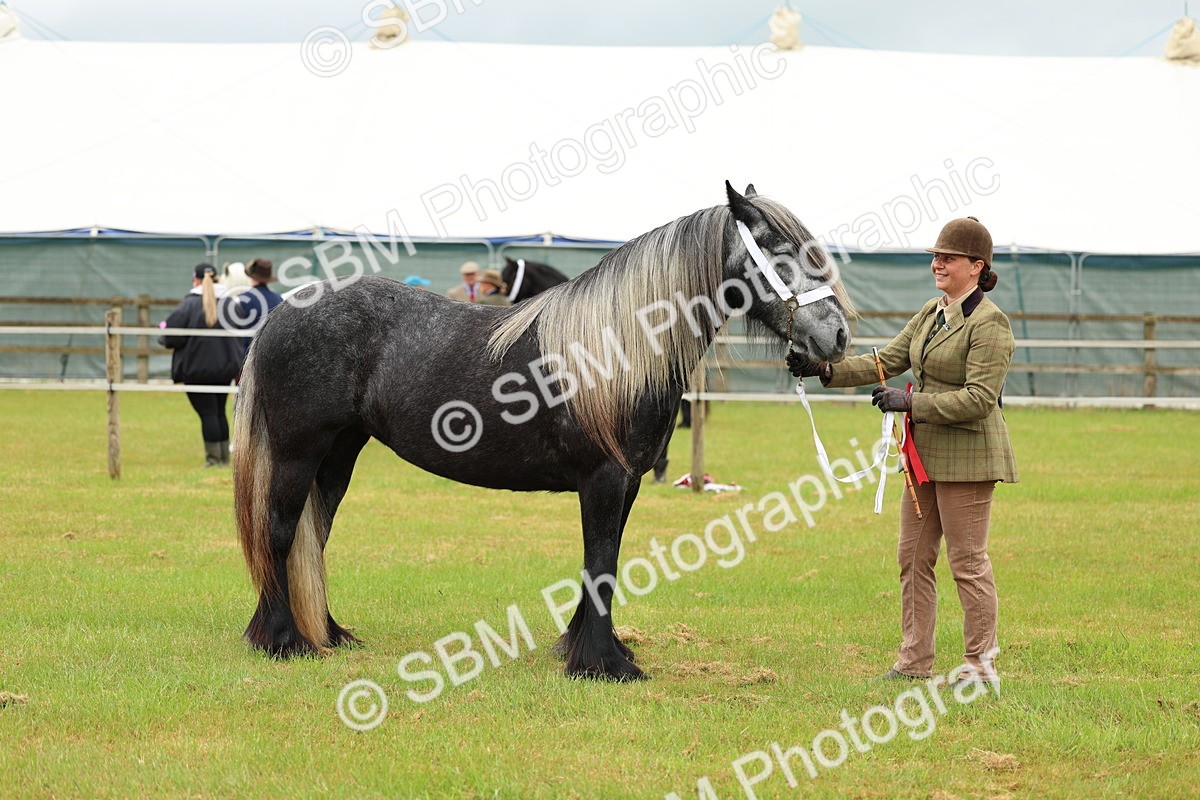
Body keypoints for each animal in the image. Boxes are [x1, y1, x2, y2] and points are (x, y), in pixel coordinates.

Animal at [233, 182, 852, 681]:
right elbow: (601, 561)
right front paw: (603, 665)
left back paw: (323, 632)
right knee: (280, 531)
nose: (838, 337)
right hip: (297, 452)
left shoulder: (627, 482)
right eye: (780, 253)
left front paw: (589, 648)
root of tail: (284, 311)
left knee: (313, 534)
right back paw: (283, 640)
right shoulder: (603, 479)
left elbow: (603, 558)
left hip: (338, 454)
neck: (615, 349)